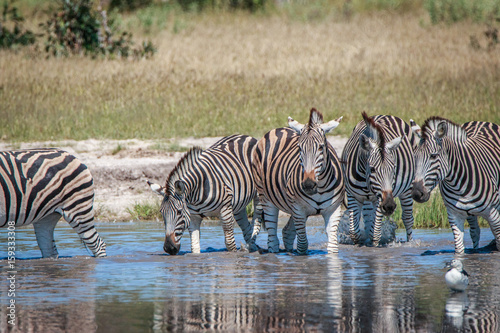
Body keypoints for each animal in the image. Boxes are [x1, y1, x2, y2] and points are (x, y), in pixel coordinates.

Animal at [254, 107, 344, 253]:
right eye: (299, 148)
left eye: (321, 147)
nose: (308, 185)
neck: (320, 187)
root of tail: (278, 129)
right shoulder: (299, 210)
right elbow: (302, 245)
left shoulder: (333, 210)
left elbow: (333, 246)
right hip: (266, 197)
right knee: (272, 238)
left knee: (287, 232)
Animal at [344, 111, 418, 244]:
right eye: (372, 169)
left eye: (393, 169)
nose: (389, 206)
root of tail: (386, 115)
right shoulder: (352, 195)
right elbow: (354, 233)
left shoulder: (380, 199)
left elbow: (375, 233)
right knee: (368, 218)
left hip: (407, 188)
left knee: (408, 218)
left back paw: (409, 242)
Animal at [410, 116, 500, 252]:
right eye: (415, 157)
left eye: (433, 156)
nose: (416, 193)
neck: (458, 185)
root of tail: (481, 122)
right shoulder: (454, 216)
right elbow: (459, 249)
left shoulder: (493, 214)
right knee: (475, 232)